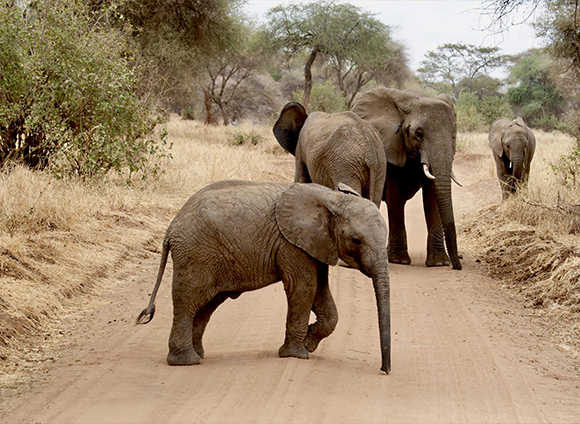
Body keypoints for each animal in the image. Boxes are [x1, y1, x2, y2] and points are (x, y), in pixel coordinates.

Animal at [137, 181, 392, 372]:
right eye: (357, 241)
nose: (384, 370)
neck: (333, 198)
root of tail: (171, 228)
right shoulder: (291, 244)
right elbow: (304, 287)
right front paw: (297, 354)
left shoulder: (315, 243)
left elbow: (320, 291)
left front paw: (309, 344)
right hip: (196, 254)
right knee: (188, 303)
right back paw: (185, 362)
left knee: (206, 306)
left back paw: (198, 354)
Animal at [352, 87, 464, 270]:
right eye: (418, 134)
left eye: (453, 136)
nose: (457, 266)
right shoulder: (391, 145)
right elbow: (395, 195)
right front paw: (399, 261)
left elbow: (432, 196)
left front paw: (439, 263)